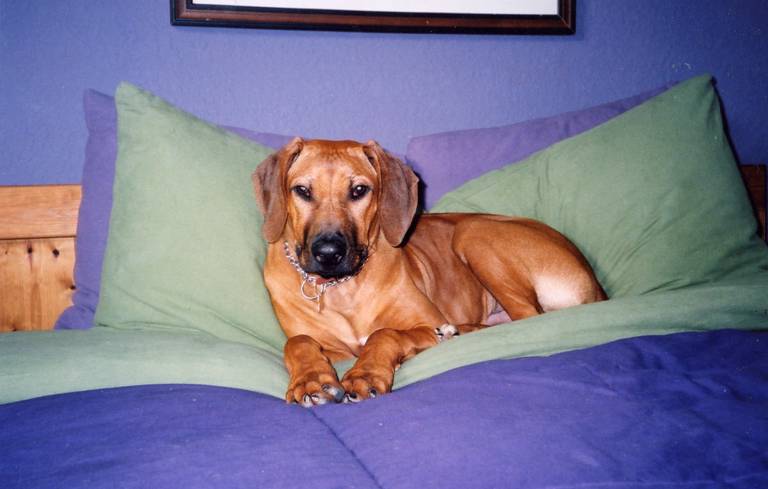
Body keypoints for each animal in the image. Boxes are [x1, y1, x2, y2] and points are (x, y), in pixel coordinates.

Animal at [252, 136, 608, 404]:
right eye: (302, 190)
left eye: (359, 191)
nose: (329, 253)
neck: (339, 288)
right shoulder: (331, 348)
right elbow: (297, 341)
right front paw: (311, 379)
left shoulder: (424, 321)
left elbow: (384, 333)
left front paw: (367, 372)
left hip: (473, 232)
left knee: (528, 319)